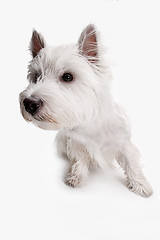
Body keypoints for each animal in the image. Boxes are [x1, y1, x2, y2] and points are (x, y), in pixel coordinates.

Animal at [19, 24, 153, 197]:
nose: (29, 103)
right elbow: (79, 159)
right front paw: (76, 177)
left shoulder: (124, 143)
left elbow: (132, 163)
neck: (90, 121)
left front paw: (141, 186)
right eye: (36, 77)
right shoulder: (75, 142)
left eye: (68, 77)